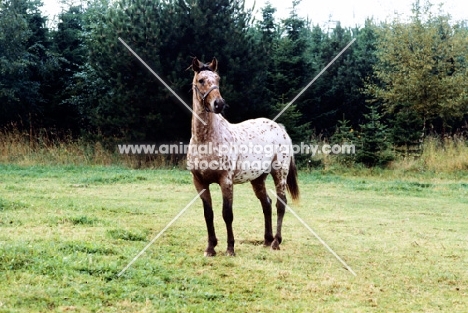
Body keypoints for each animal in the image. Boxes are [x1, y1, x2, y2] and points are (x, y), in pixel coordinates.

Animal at [186, 56, 300, 256]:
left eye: (218, 79)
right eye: (201, 80)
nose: (219, 104)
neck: (205, 141)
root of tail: (280, 128)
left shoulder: (226, 181)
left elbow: (227, 214)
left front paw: (230, 249)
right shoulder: (199, 182)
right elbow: (208, 214)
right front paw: (210, 248)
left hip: (280, 173)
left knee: (280, 204)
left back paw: (276, 242)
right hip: (258, 179)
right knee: (267, 203)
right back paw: (266, 240)